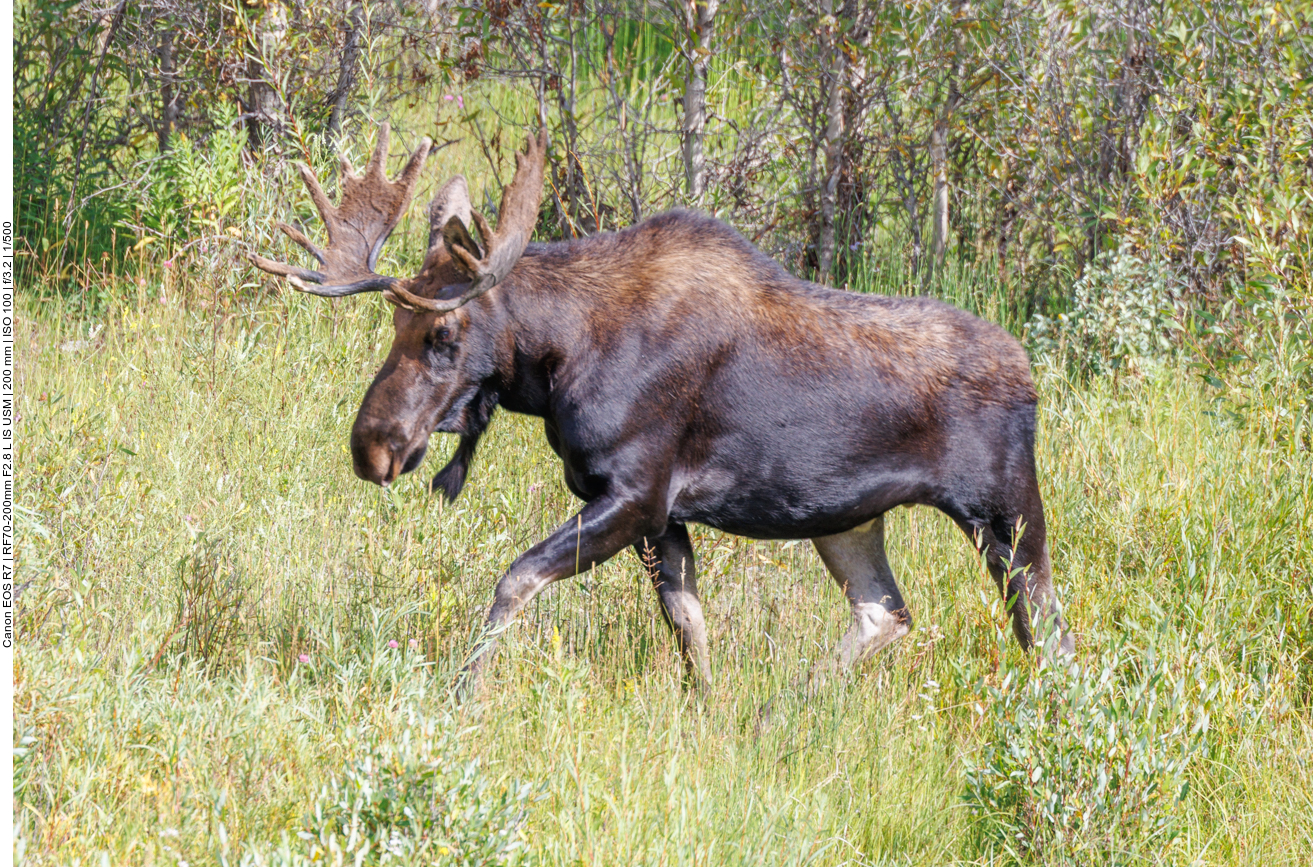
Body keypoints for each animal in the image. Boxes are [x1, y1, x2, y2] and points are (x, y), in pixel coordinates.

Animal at [250, 123, 1071, 688]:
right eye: (393, 325)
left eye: (443, 332)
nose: (373, 444)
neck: (557, 361)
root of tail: (1030, 374)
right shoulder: (664, 518)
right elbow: (691, 634)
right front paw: (712, 712)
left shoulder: (635, 495)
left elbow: (513, 580)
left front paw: (462, 693)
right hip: (847, 519)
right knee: (885, 611)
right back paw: (781, 707)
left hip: (1004, 512)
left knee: (1048, 631)